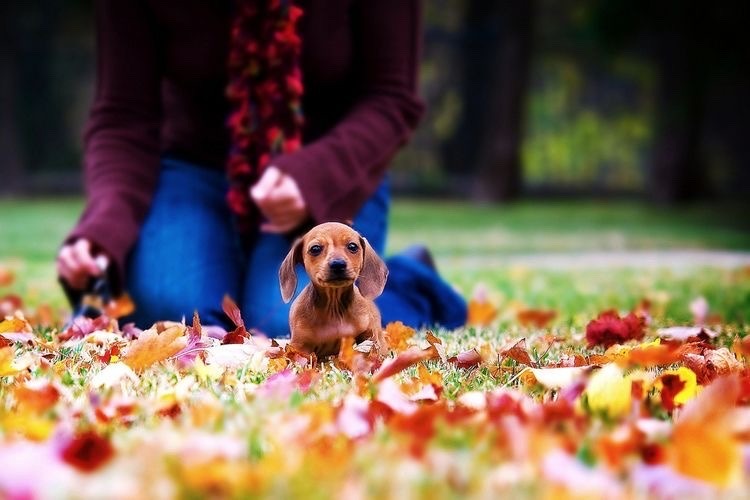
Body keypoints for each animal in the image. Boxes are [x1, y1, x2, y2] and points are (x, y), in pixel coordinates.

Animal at [280, 222, 390, 356]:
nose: (338, 264)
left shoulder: (368, 335)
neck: (334, 307)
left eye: (352, 246)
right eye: (315, 249)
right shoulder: (299, 346)